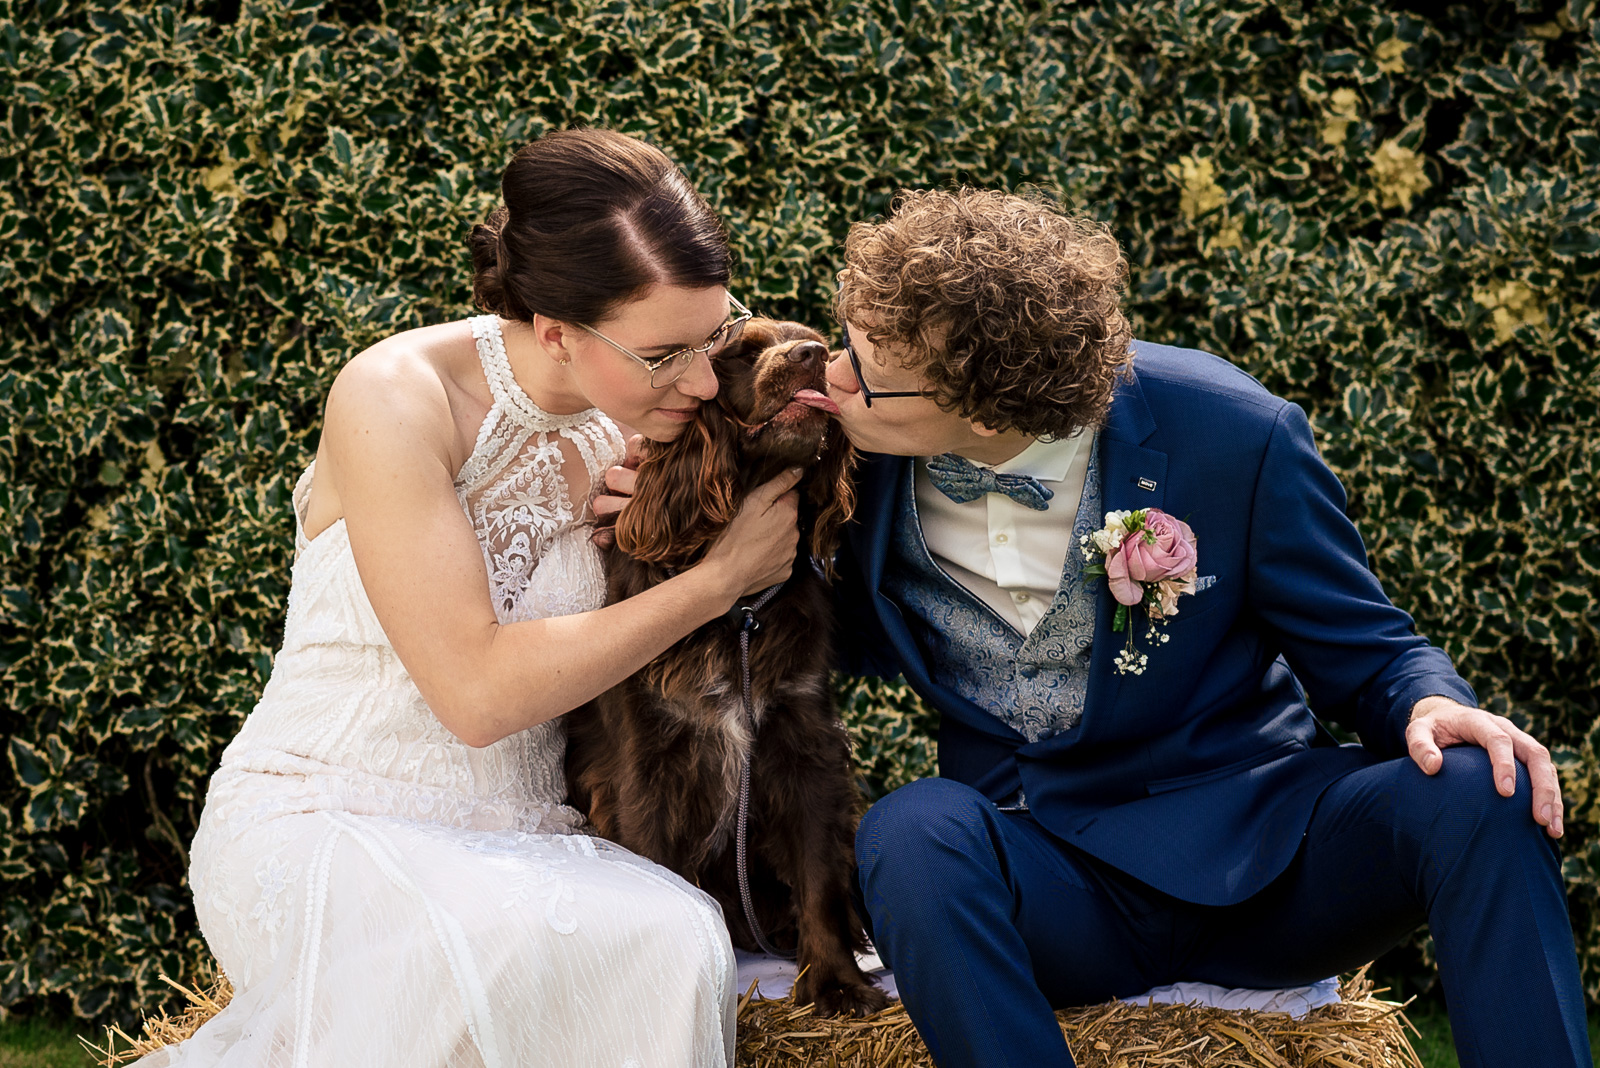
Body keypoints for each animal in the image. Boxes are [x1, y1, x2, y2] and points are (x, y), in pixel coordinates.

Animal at [563, 316, 889, 1016]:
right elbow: (660, 872)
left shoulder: (803, 743)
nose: (813, 355)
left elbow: (819, 876)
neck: (737, 610)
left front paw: (835, 982)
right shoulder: (646, 764)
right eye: (741, 353)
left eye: (816, 339)